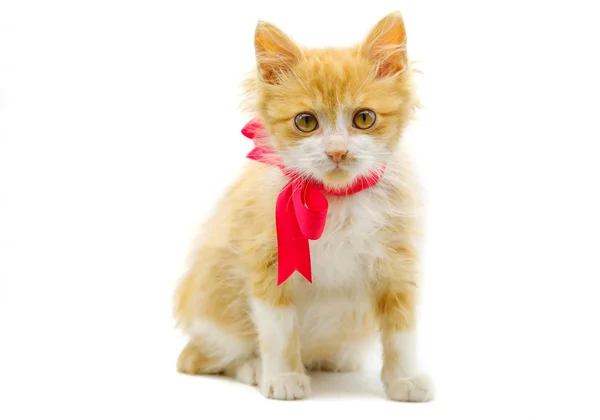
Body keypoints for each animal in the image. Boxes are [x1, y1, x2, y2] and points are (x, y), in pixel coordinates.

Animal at [171, 11, 434, 402]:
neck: (334, 200)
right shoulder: (267, 259)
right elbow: (279, 328)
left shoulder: (398, 263)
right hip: (215, 312)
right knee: (199, 357)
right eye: (306, 122)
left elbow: (402, 329)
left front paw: (405, 379)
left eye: (364, 118)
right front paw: (283, 377)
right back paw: (253, 368)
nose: (338, 151)